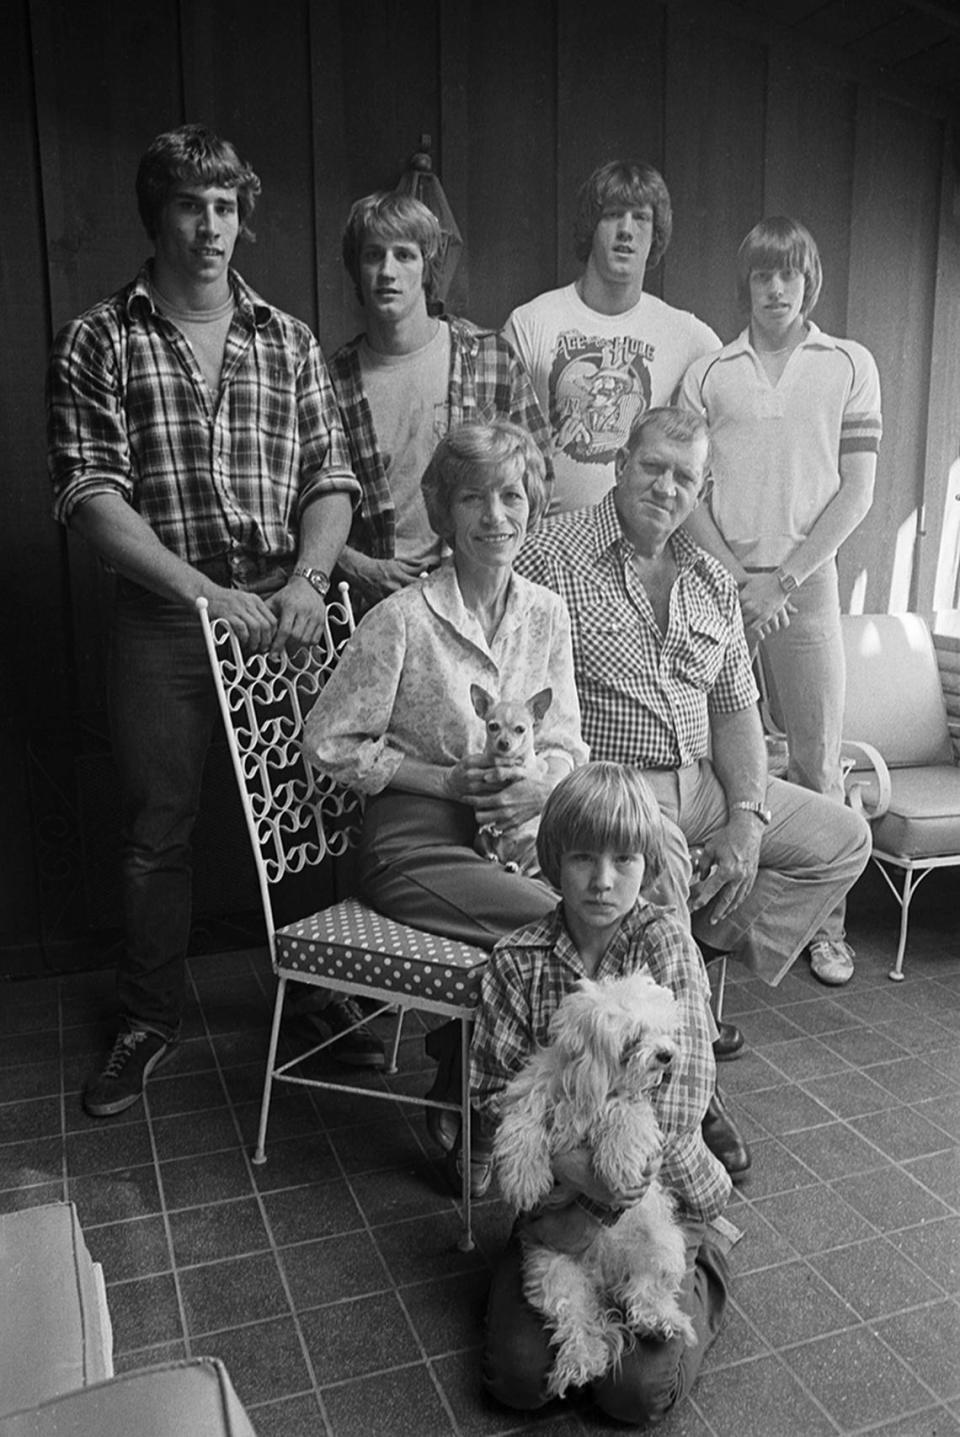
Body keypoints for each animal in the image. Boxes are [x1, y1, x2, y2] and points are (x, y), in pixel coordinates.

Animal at [468, 684, 551, 873]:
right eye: (493, 726)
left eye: (520, 729)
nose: (504, 742)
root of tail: (505, 856)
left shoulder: (529, 773)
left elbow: (519, 771)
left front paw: (506, 772)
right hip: (480, 838)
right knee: (486, 847)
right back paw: (491, 854)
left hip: (534, 850)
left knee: (525, 869)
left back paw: (514, 865)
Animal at [494, 965, 689, 1391]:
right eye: (635, 1036)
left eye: (663, 1030)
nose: (667, 1054)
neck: (587, 1086)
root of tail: (605, 1274)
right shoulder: (533, 1094)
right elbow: (521, 1128)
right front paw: (523, 1180)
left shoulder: (630, 1106)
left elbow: (625, 1116)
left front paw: (619, 1163)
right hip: (553, 1273)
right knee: (577, 1321)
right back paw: (581, 1362)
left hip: (660, 1244)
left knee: (646, 1291)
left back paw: (660, 1323)